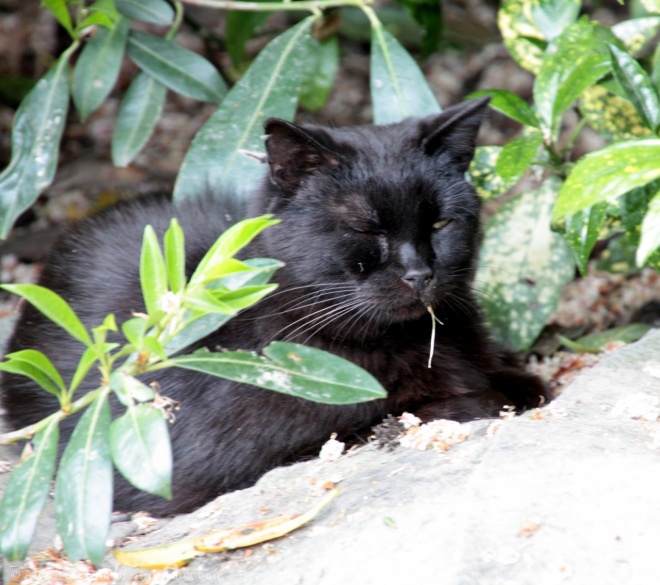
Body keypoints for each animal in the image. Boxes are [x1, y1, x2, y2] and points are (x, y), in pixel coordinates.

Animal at [0, 98, 548, 512]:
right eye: (364, 228)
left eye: (440, 223)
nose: (419, 274)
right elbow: (407, 412)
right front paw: (475, 400)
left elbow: (526, 383)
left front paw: (513, 383)